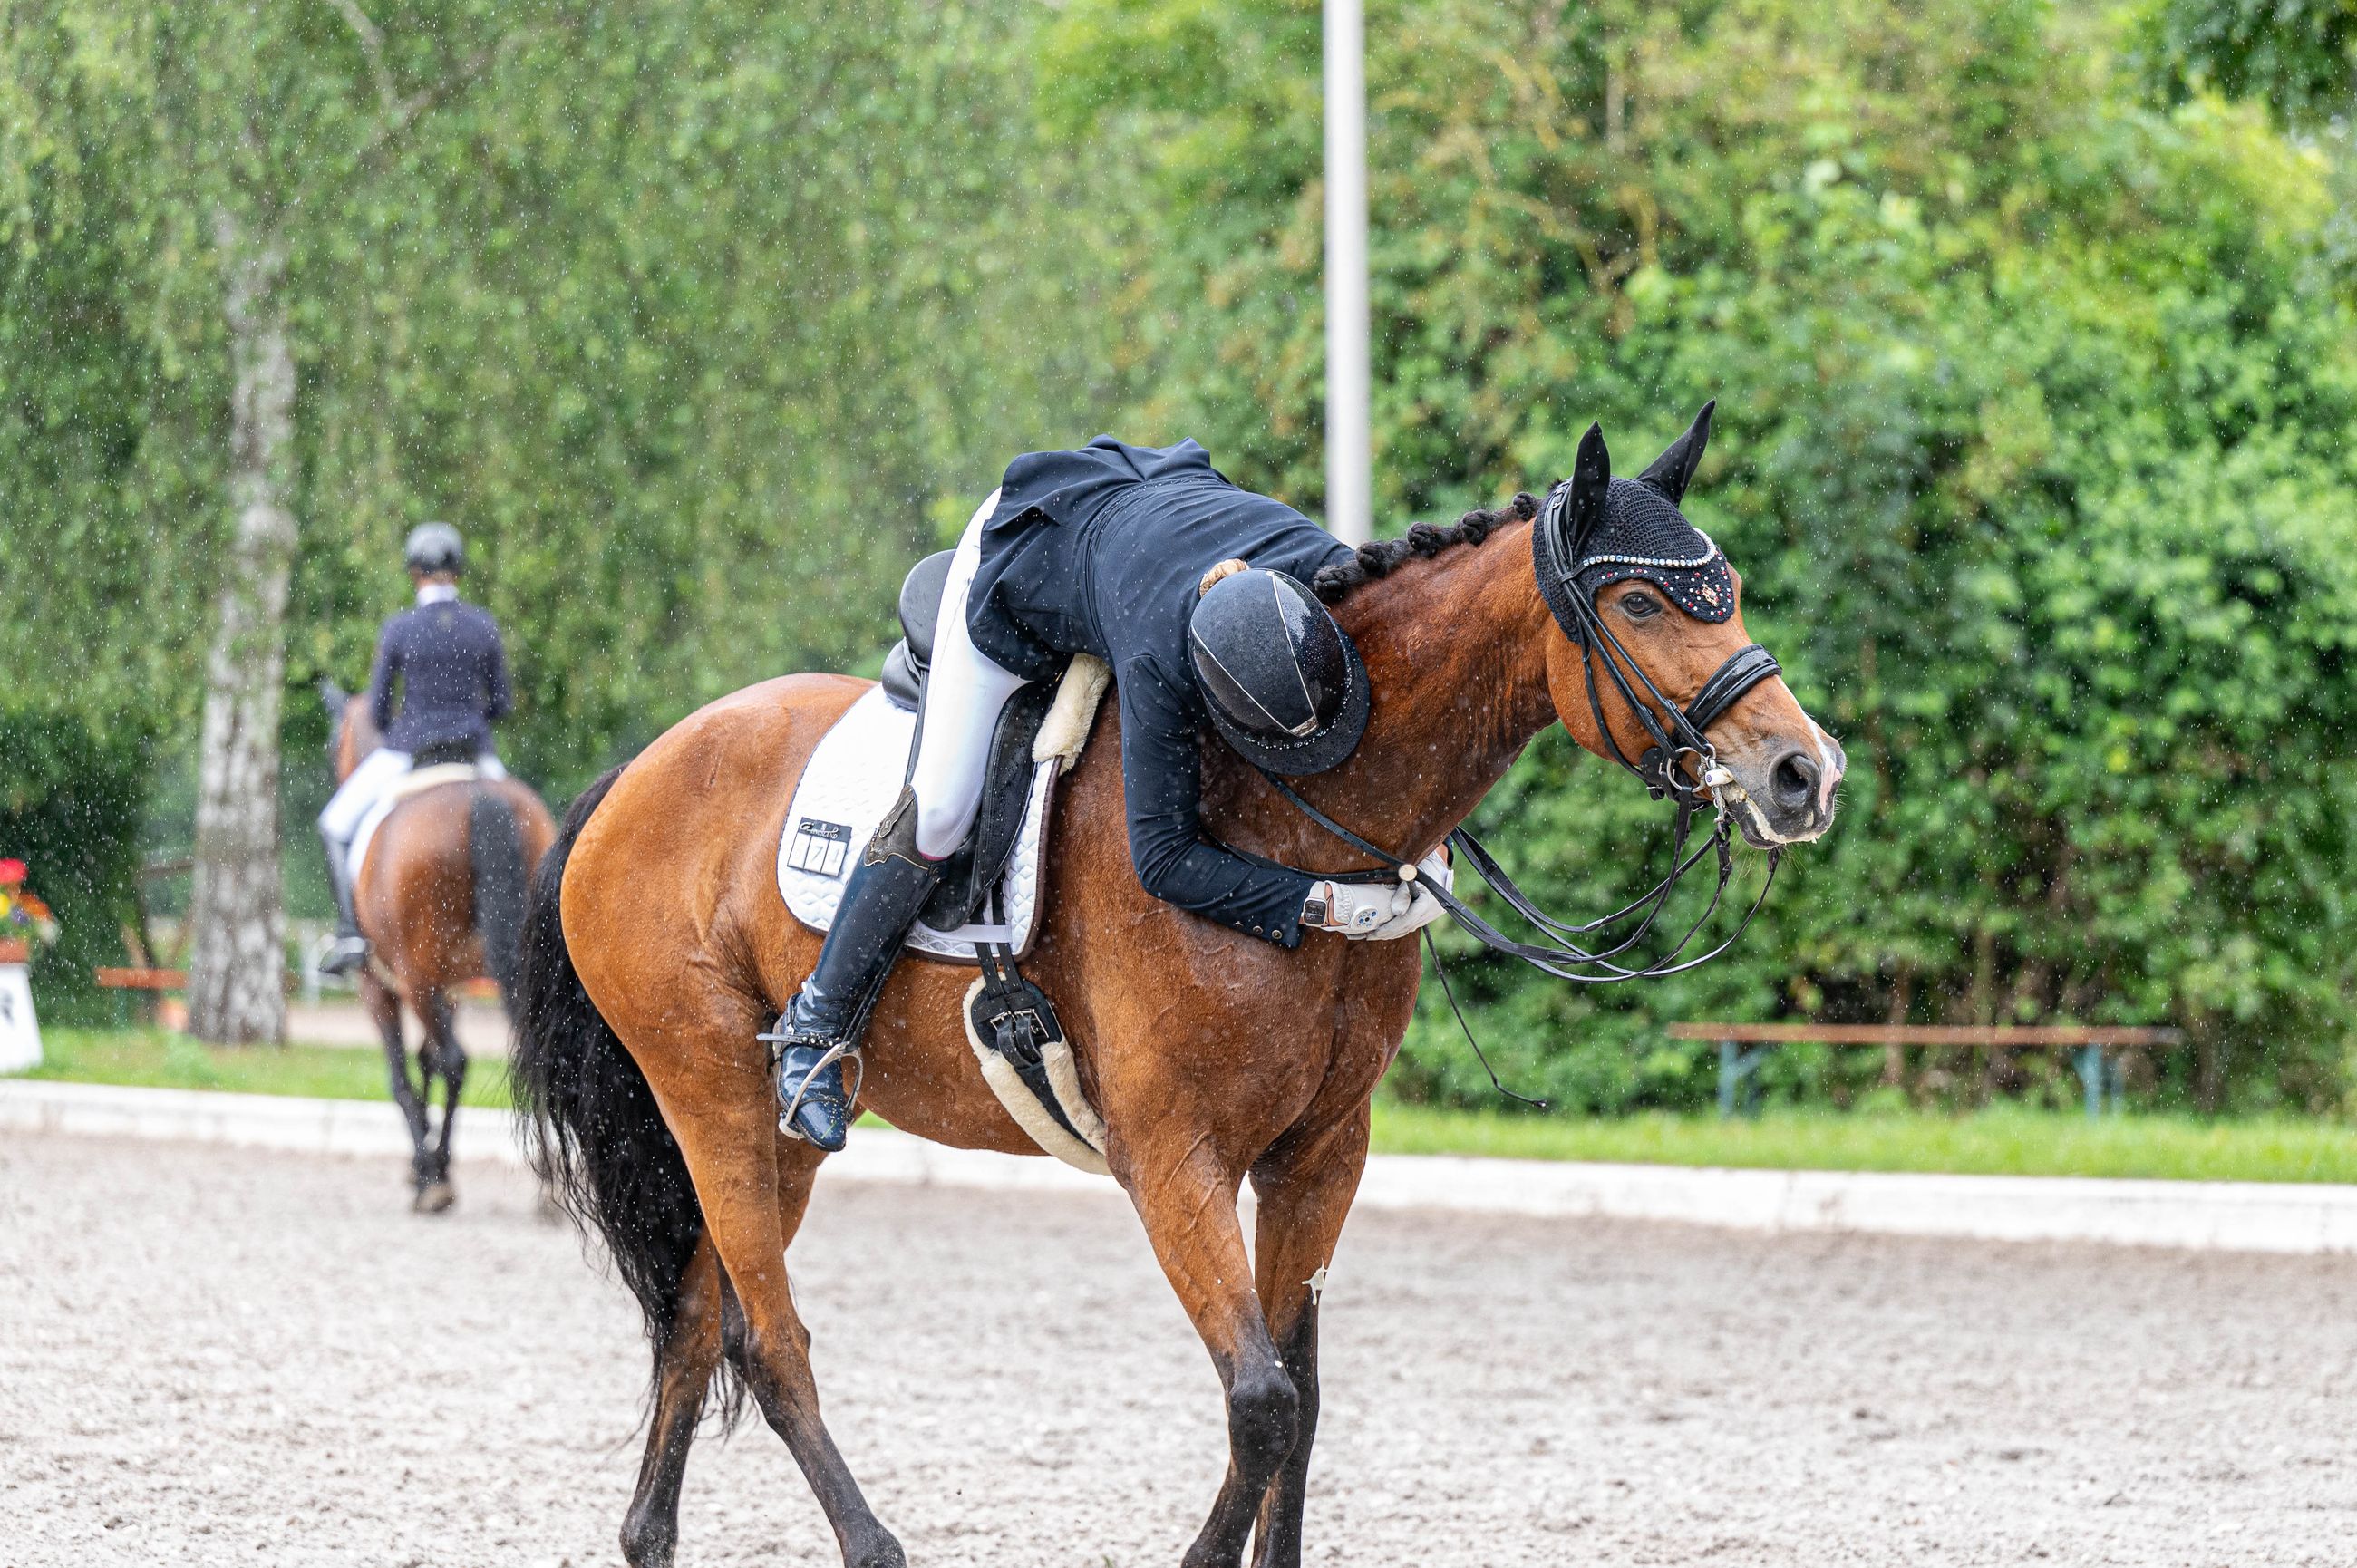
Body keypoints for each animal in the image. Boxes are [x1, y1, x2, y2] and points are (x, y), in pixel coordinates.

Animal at [323, 683, 559, 1211]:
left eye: (332, 741)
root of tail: (479, 795)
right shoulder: (449, 988)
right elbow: (426, 1060)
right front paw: (428, 1166)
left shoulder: (382, 986)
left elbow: (402, 1076)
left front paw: (427, 1172)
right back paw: (549, 1191)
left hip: (415, 975)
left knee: (455, 1060)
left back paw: (440, 1188)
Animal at [513, 437, 1846, 1567]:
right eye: (1640, 606)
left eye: (1725, 588)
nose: (1803, 773)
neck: (1293, 814)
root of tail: (633, 770)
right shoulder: (1172, 1156)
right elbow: (1259, 1402)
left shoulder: (1319, 1153)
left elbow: (1303, 1399)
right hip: (707, 1086)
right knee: (766, 1337)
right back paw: (874, 1545)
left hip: (774, 1128)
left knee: (700, 1316)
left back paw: (649, 1536)